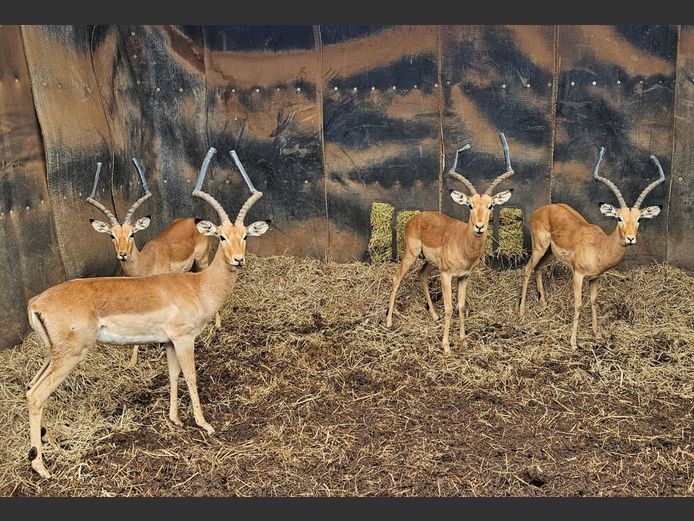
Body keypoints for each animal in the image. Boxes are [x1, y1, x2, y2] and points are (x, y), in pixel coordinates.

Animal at [87, 159, 216, 365]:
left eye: (132, 234)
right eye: (112, 236)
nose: (123, 254)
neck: (145, 264)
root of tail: (194, 220)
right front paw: (132, 361)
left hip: (202, 259)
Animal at [386, 133, 515, 353]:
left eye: (490, 206)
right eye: (470, 205)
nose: (479, 227)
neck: (463, 245)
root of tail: (415, 218)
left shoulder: (463, 277)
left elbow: (460, 306)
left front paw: (462, 340)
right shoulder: (446, 275)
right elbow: (448, 308)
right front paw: (446, 345)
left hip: (429, 262)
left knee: (421, 276)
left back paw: (433, 315)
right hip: (411, 255)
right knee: (396, 278)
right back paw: (388, 322)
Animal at [519, 147, 665, 348]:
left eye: (639, 219)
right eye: (619, 218)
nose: (630, 238)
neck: (599, 248)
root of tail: (541, 210)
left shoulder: (595, 278)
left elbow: (594, 301)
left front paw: (597, 333)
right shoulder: (578, 274)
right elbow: (579, 304)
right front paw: (573, 342)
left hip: (550, 253)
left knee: (538, 268)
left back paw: (543, 304)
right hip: (539, 247)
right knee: (527, 269)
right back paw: (521, 312)